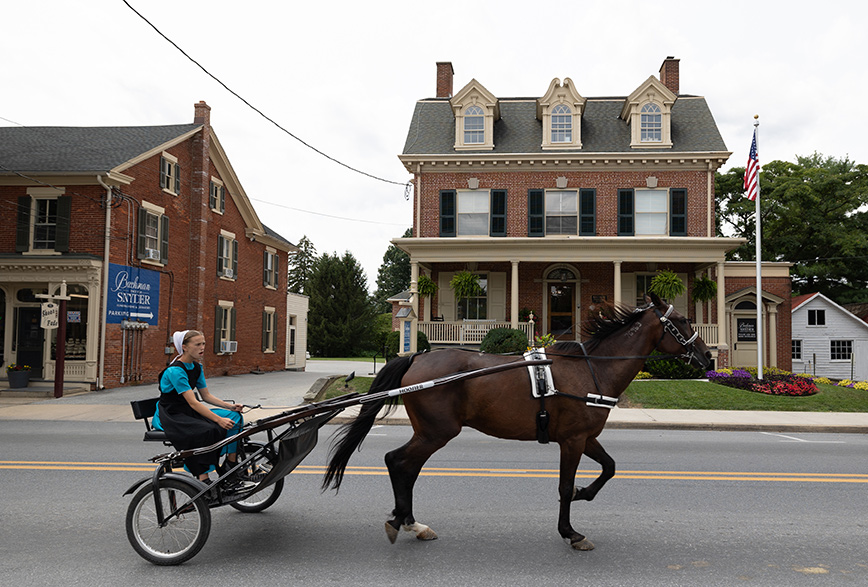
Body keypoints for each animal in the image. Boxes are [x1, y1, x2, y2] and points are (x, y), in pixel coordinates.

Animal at [326, 294, 712, 552]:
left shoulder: (585, 437)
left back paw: (410, 522)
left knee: (405, 466)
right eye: (681, 321)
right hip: (437, 431)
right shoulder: (572, 440)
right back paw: (403, 520)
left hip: (430, 432)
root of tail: (416, 359)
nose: (707, 357)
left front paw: (584, 492)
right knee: (398, 461)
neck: (591, 370)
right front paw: (571, 531)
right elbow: (564, 487)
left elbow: (610, 467)